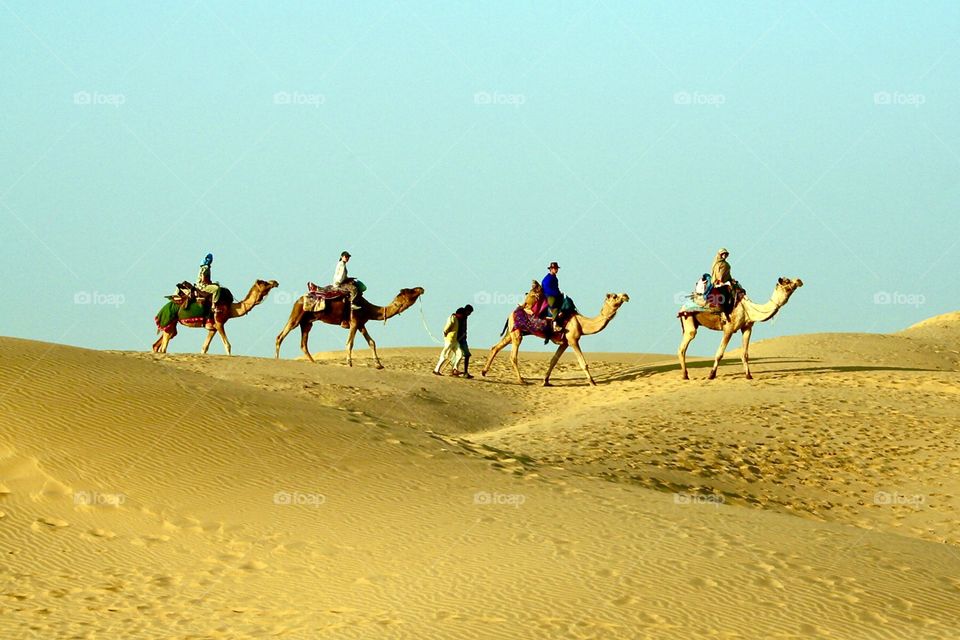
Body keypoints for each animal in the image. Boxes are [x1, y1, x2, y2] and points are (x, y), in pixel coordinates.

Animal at [275, 287, 425, 368]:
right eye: (410, 291)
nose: (421, 288)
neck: (367, 308)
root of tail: (297, 300)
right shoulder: (354, 322)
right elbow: (350, 343)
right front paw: (349, 363)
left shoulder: (361, 324)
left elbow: (372, 342)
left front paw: (379, 365)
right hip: (297, 315)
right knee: (280, 335)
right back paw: (276, 359)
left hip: (307, 322)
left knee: (303, 344)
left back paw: (314, 362)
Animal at [481, 292, 630, 386]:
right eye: (614, 296)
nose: (626, 295)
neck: (581, 323)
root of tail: (511, 313)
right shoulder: (573, 340)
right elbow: (583, 363)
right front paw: (592, 382)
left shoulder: (564, 343)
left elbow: (553, 360)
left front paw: (545, 381)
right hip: (517, 334)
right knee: (513, 356)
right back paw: (521, 380)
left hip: (512, 332)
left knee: (496, 347)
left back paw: (484, 372)